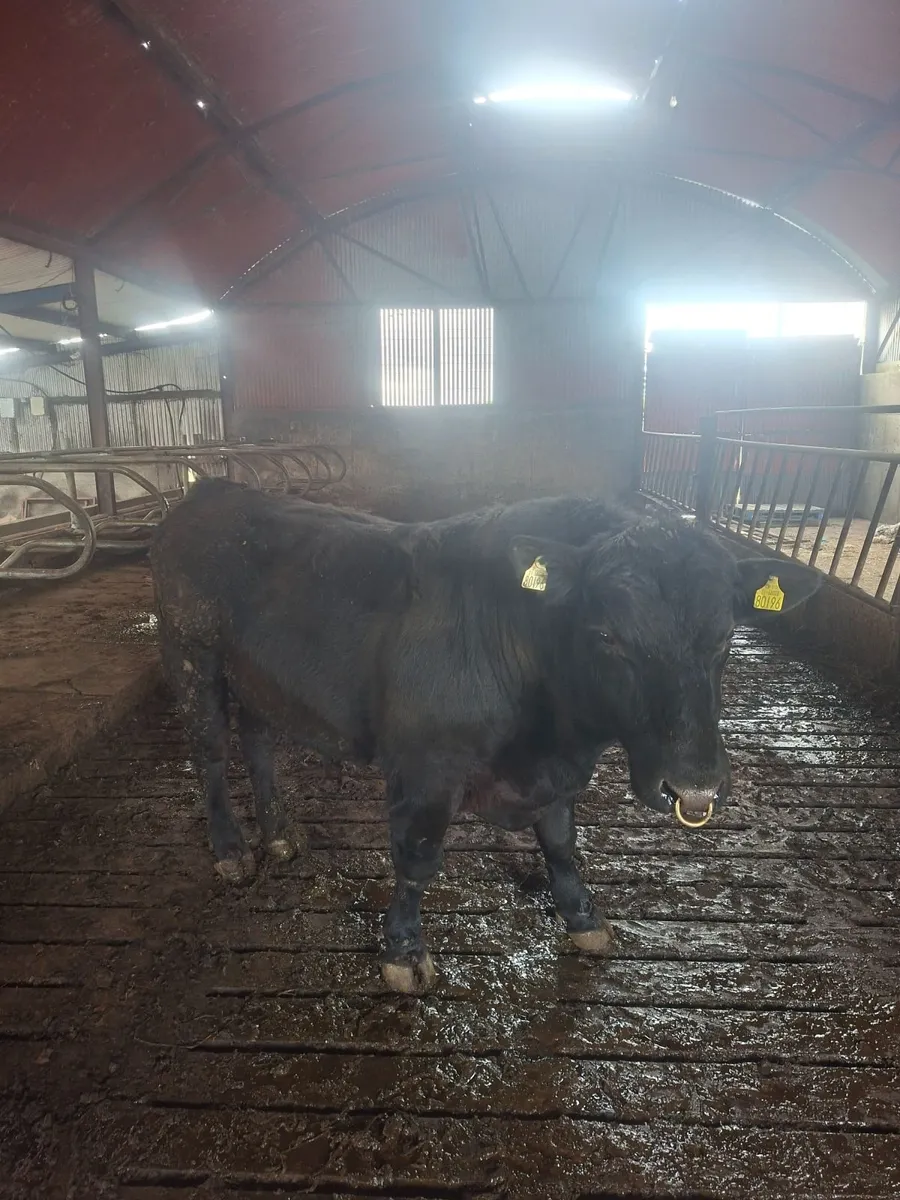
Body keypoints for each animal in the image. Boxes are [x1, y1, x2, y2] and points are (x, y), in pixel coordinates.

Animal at [150, 478, 822, 993]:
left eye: (727, 635)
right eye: (607, 635)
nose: (695, 787)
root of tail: (213, 490)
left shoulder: (555, 774)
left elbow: (561, 843)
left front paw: (583, 917)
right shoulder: (425, 768)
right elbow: (417, 860)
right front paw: (403, 953)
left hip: (258, 676)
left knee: (259, 742)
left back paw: (281, 834)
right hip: (192, 655)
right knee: (211, 753)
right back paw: (232, 849)